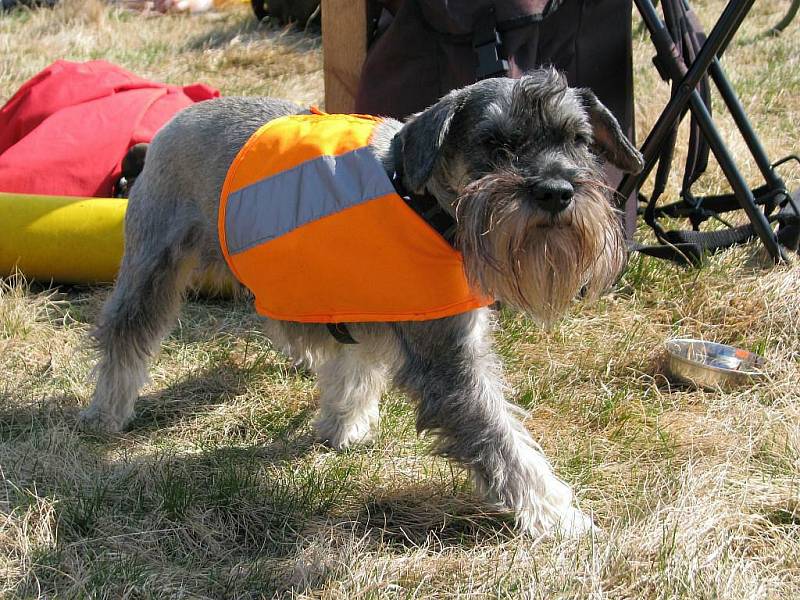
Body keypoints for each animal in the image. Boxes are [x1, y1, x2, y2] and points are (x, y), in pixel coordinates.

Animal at [79, 68, 644, 536]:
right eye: (494, 142)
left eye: (579, 140)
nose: (556, 192)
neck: (423, 204)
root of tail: (173, 122)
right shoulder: (450, 364)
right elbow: (502, 440)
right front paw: (559, 514)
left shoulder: (368, 314)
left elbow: (356, 368)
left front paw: (343, 426)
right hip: (153, 266)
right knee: (124, 333)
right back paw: (107, 411)